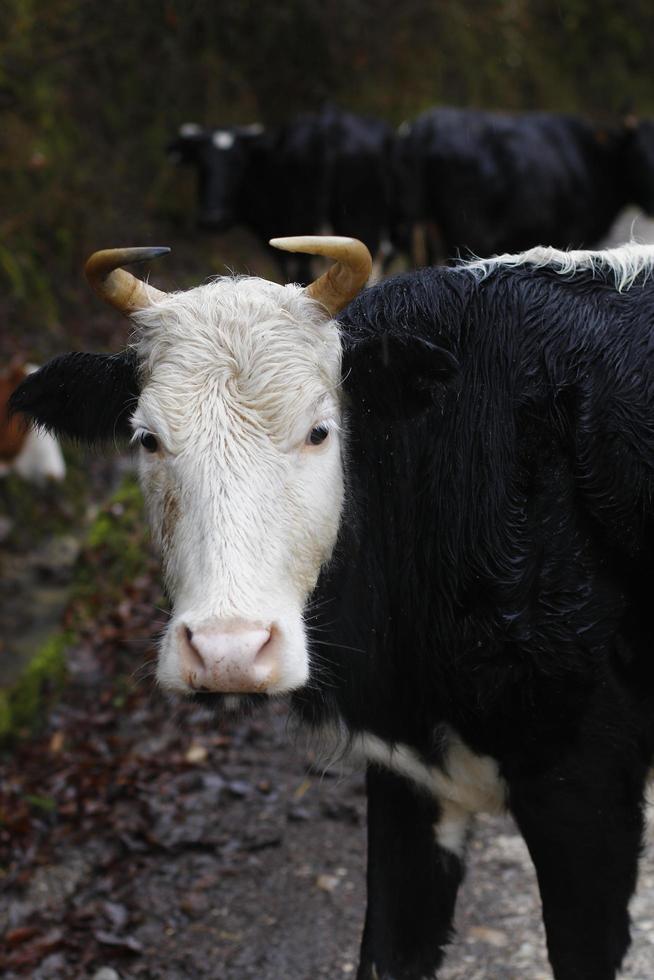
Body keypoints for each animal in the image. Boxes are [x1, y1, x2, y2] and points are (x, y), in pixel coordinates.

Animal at [9, 239, 654, 980]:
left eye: (320, 431)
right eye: (146, 438)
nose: (229, 652)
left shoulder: (587, 786)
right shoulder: (409, 782)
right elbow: (389, 949)